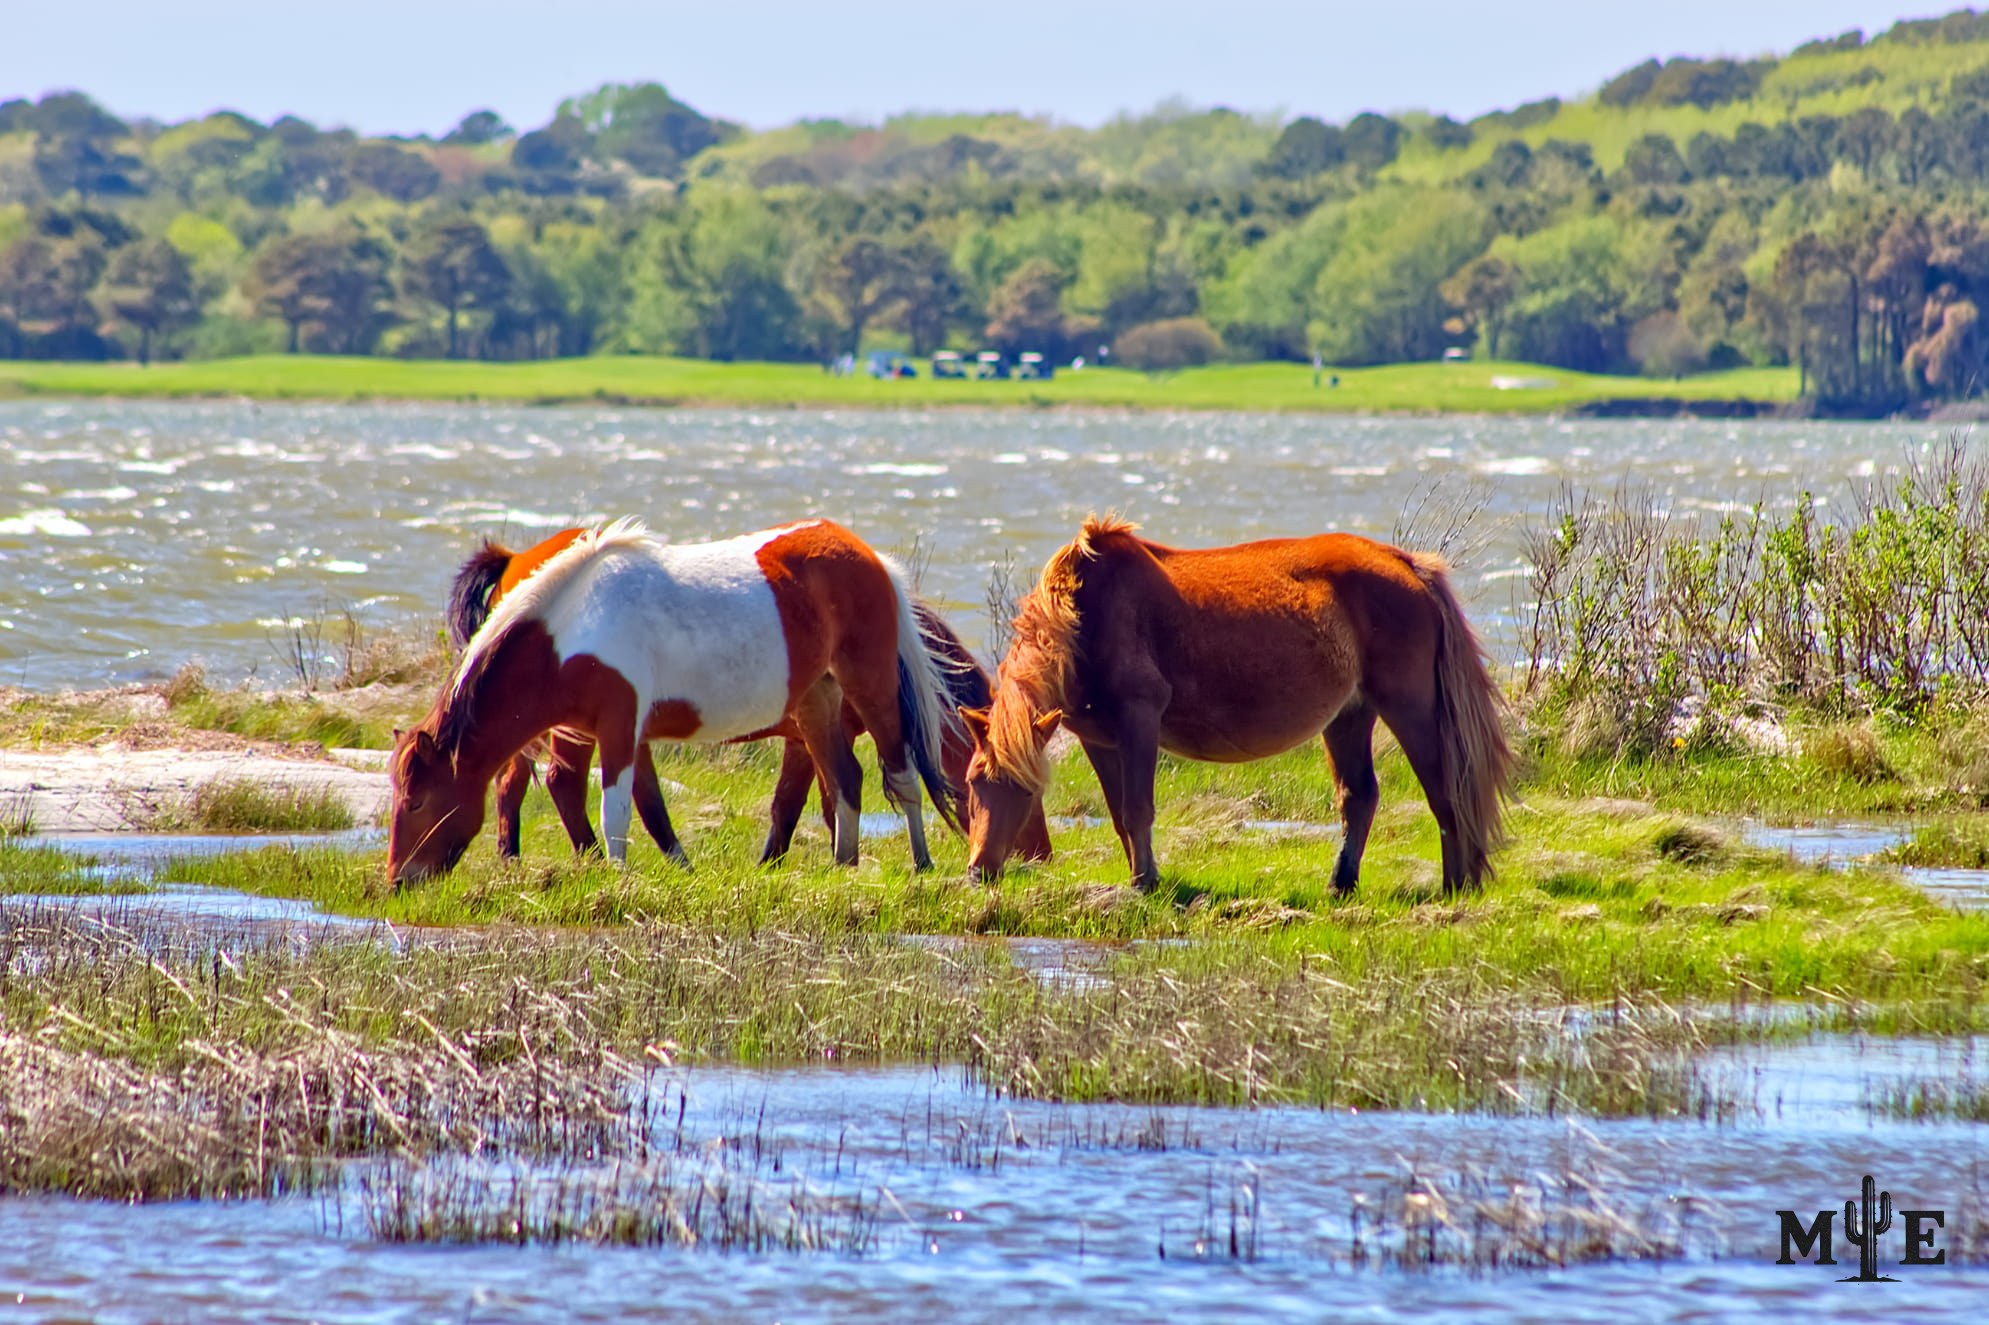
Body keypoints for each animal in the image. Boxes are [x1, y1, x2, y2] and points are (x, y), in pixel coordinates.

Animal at [389, 518, 962, 886]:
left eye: (416, 801)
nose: (398, 879)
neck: (573, 625)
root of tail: (866, 554)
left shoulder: (620, 726)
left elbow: (617, 808)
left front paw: (617, 877)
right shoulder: (620, 730)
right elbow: (648, 804)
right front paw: (663, 869)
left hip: (869, 684)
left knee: (901, 775)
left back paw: (922, 865)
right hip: (817, 700)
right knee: (845, 779)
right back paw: (844, 867)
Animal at [961, 515, 1512, 896]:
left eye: (1027, 790)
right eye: (972, 782)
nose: (979, 870)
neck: (1086, 613)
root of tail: (1406, 565)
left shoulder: (1139, 720)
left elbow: (1138, 808)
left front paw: (1146, 884)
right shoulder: (1100, 739)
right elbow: (1119, 815)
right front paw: (1136, 877)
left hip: (1409, 707)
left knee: (1446, 790)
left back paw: (1456, 885)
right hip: (1350, 716)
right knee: (1359, 797)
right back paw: (1341, 884)